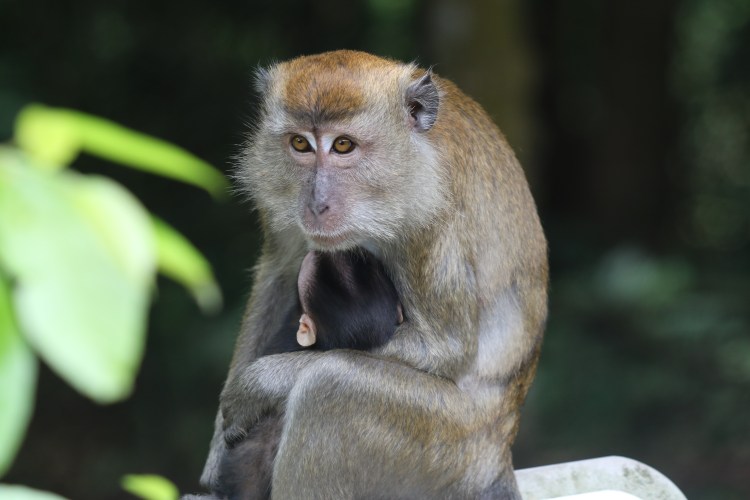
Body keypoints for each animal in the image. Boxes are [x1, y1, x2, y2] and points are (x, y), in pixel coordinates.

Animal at [193, 50, 548, 500]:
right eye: (300, 144)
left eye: (343, 145)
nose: (317, 203)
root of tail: (498, 455)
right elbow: (278, 275)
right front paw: (216, 451)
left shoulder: (431, 218)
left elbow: (445, 347)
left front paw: (260, 384)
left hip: (445, 446)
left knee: (331, 385)